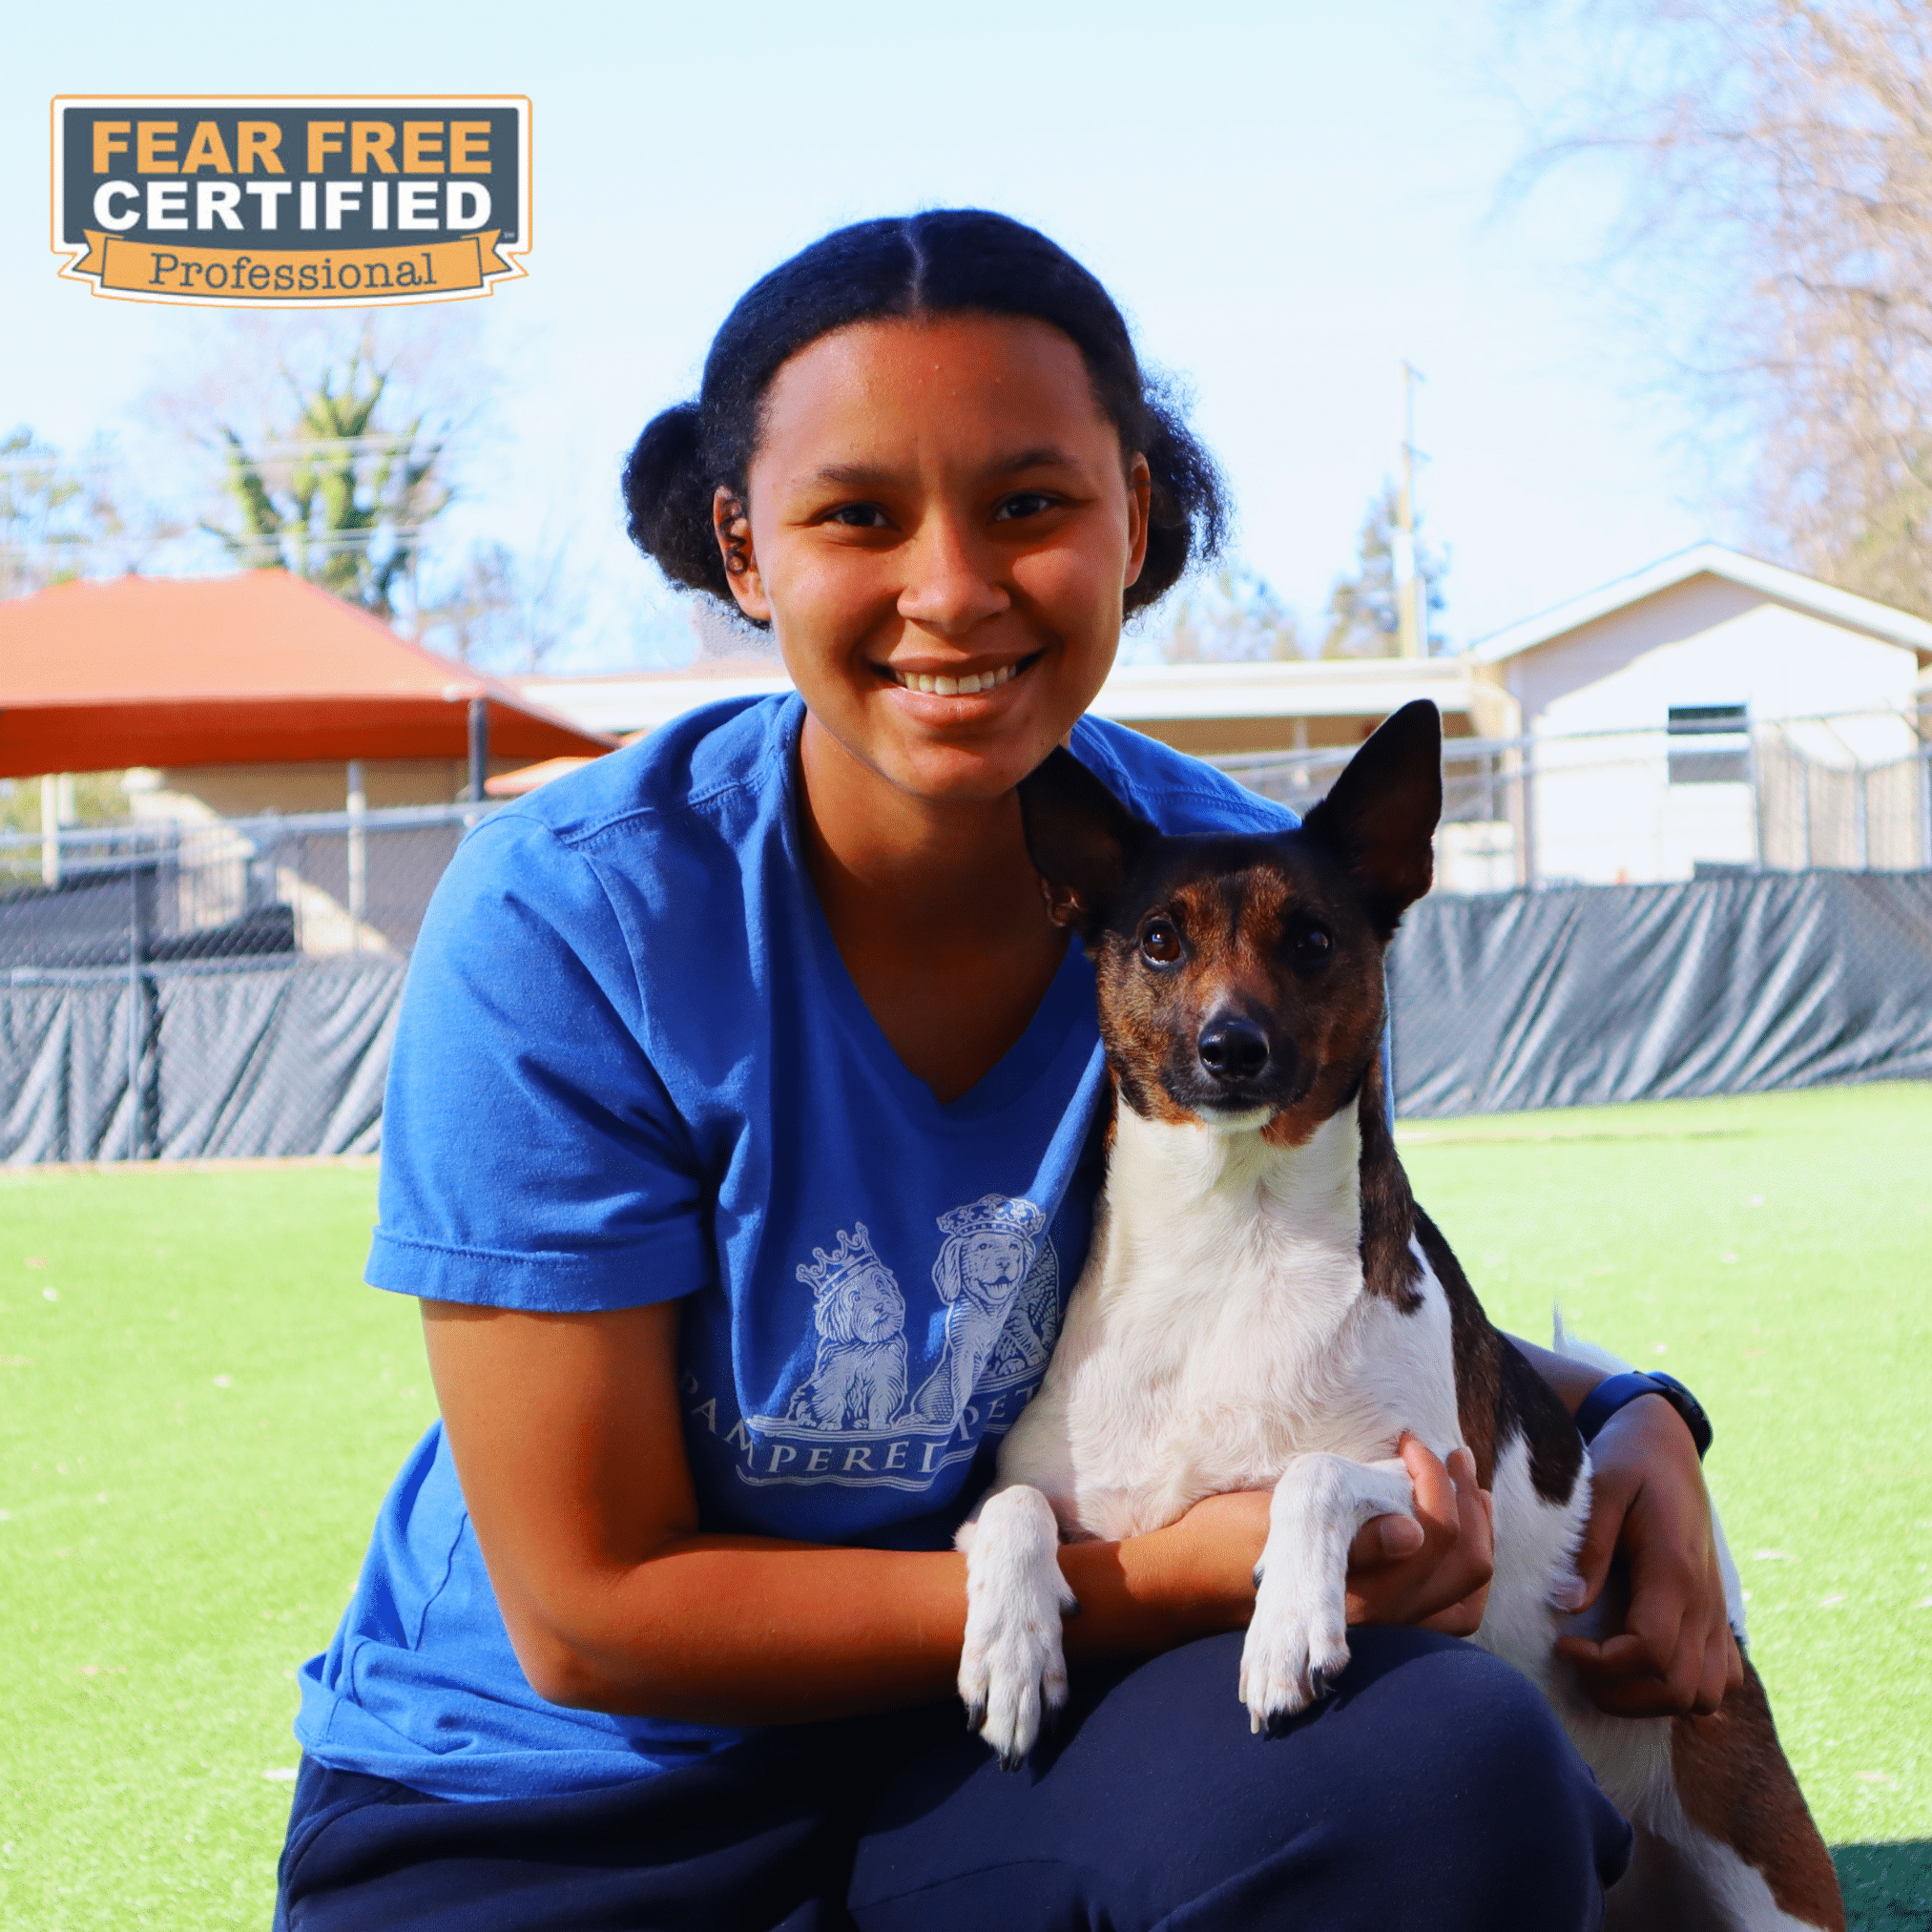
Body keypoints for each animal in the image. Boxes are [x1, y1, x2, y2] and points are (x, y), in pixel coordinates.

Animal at [962, 707, 1839, 1932]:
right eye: (1160, 941)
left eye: (1313, 939)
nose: (1230, 1047)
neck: (1230, 1241)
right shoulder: (1042, 1498)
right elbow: (1009, 1513)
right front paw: (1008, 1646)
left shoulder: (1435, 1482)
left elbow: (1313, 1473)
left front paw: (1289, 1624)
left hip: (1764, 1866)